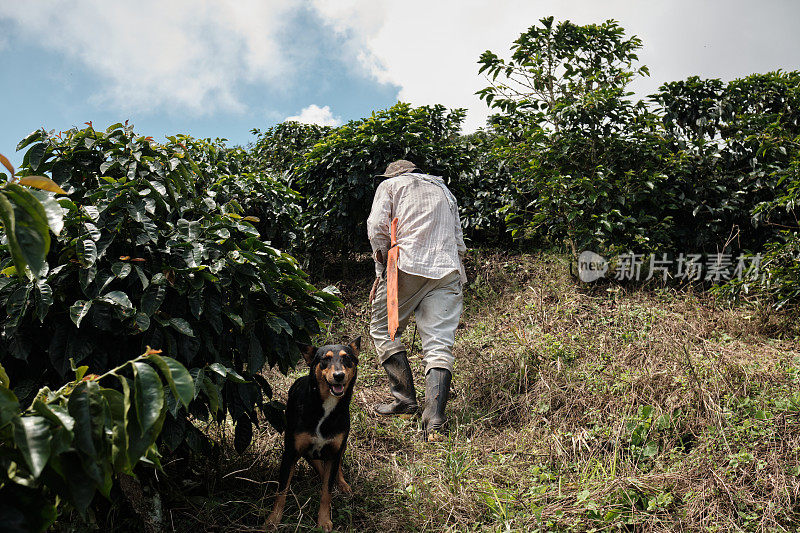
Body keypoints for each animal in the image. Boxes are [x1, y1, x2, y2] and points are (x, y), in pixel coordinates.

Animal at [266, 338, 360, 528]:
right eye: (325, 359)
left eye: (347, 358)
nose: (339, 375)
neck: (326, 407)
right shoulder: (290, 452)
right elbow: (281, 491)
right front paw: (273, 520)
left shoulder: (334, 450)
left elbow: (326, 492)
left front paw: (324, 520)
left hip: (342, 444)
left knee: (335, 467)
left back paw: (342, 484)